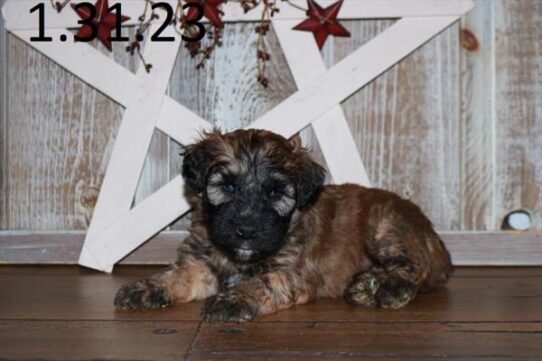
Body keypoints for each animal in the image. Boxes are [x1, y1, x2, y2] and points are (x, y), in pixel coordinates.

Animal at [116, 129, 454, 320]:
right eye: (227, 187)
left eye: (275, 193)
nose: (246, 230)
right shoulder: (204, 263)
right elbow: (180, 275)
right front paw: (147, 286)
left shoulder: (294, 273)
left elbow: (261, 283)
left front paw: (233, 299)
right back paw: (367, 283)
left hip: (384, 225)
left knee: (414, 269)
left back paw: (387, 288)